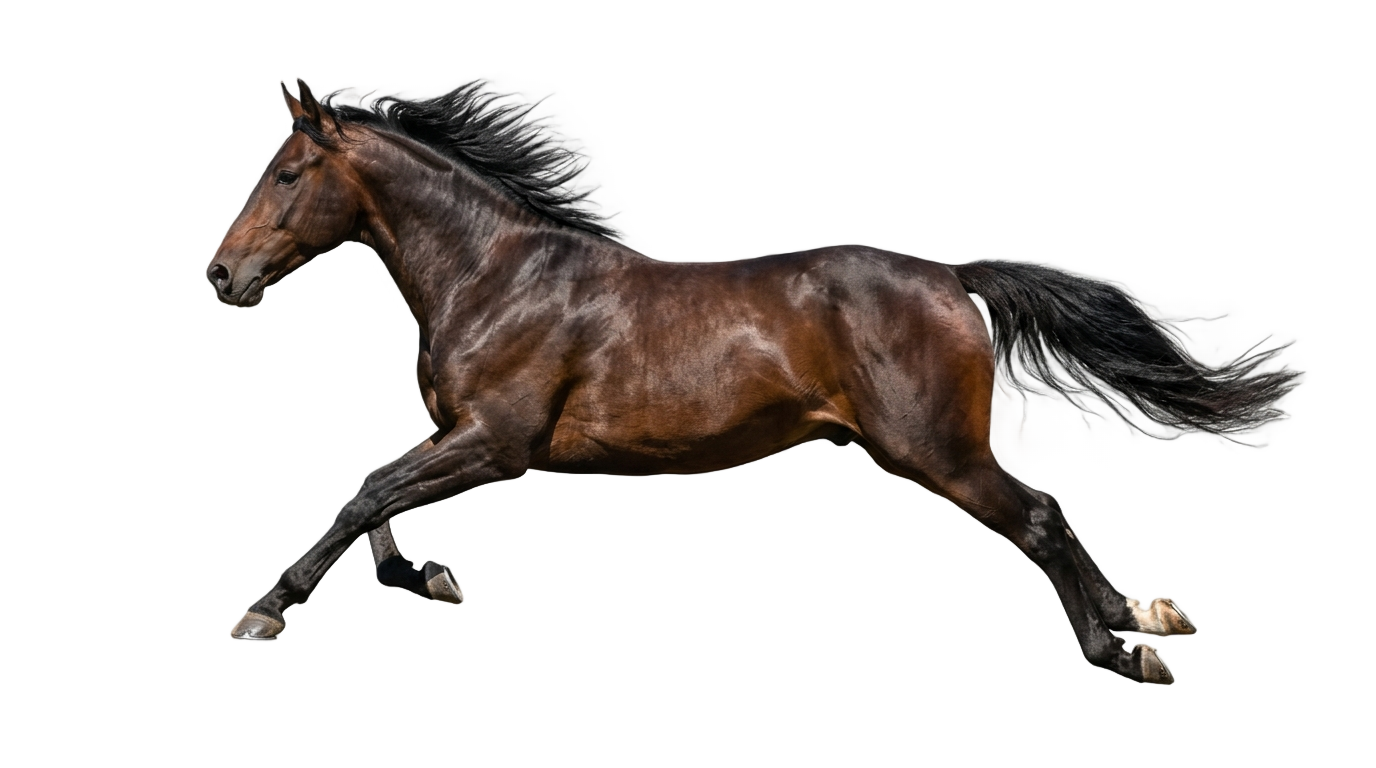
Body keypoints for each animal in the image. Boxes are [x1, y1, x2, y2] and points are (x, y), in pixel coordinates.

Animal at [207, 79, 1295, 683]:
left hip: (937, 450)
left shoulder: (499, 442)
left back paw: (1125, 648)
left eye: (288, 173)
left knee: (1037, 523)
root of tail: (953, 276)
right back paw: (1138, 627)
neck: (494, 276)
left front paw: (267, 610)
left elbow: (366, 494)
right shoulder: (458, 437)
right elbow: (381, 519)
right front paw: (425, 583)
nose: (221, 275)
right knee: (1049, 521)